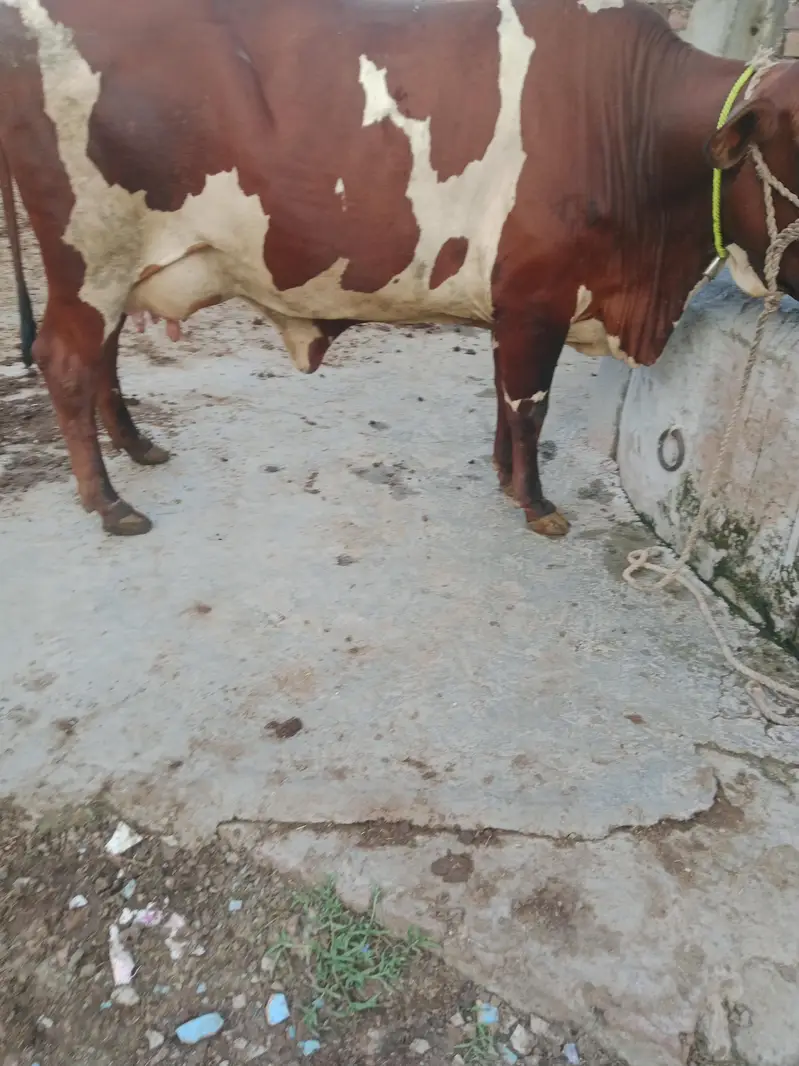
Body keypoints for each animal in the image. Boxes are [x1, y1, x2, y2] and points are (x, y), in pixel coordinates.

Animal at [0, 0, 798, 537]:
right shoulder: (537, 297)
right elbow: (528, 405)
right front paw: (535, 502)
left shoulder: (513, 306)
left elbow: (505, 397)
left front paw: (503, 477)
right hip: (90, 255)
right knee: (66, 359)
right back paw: (108, 502)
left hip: (117, 265)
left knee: (102, 356)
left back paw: (138, 448)